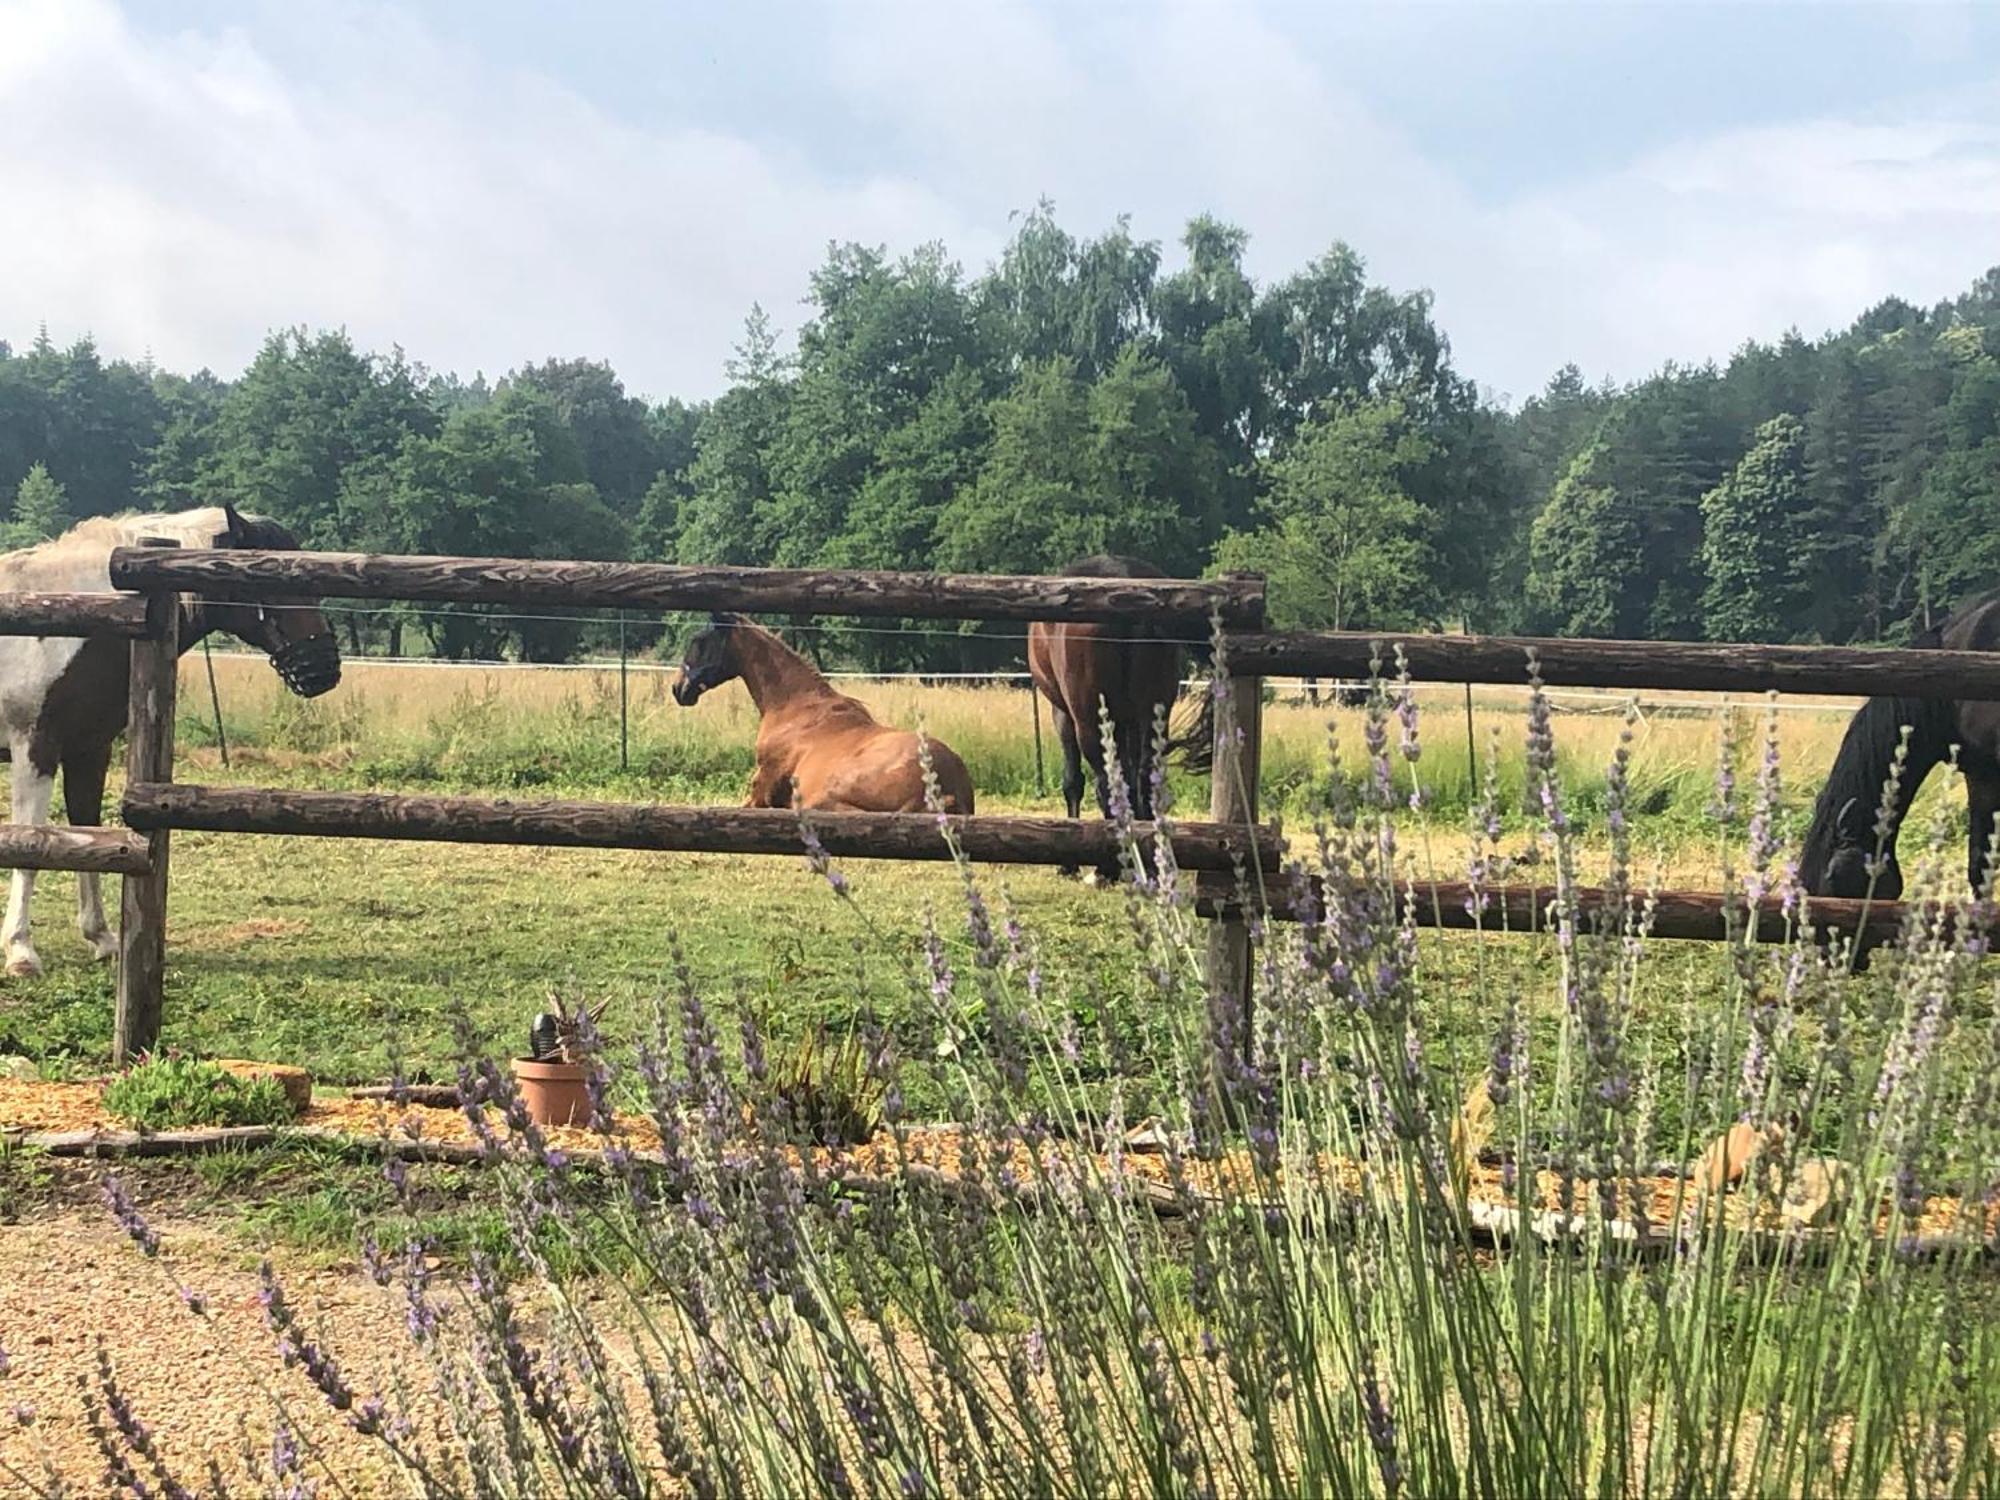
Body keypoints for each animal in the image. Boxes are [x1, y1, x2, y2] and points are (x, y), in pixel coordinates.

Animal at [0, 508, 340, 976]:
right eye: (271, 581)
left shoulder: (88, 750)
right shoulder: (35, 748)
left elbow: (86, 834)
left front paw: (101, 937)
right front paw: (21, 951)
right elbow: (30, 845)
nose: (323, 670)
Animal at [1024, 556, 1208, 880]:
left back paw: (1106, 868)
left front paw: (1069, 863)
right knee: (1145, 777)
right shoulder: (1130, 720)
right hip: (1153, 712)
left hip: (1090, 720)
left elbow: (1073, 780)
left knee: (1108, 783)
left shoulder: (1063, 714)